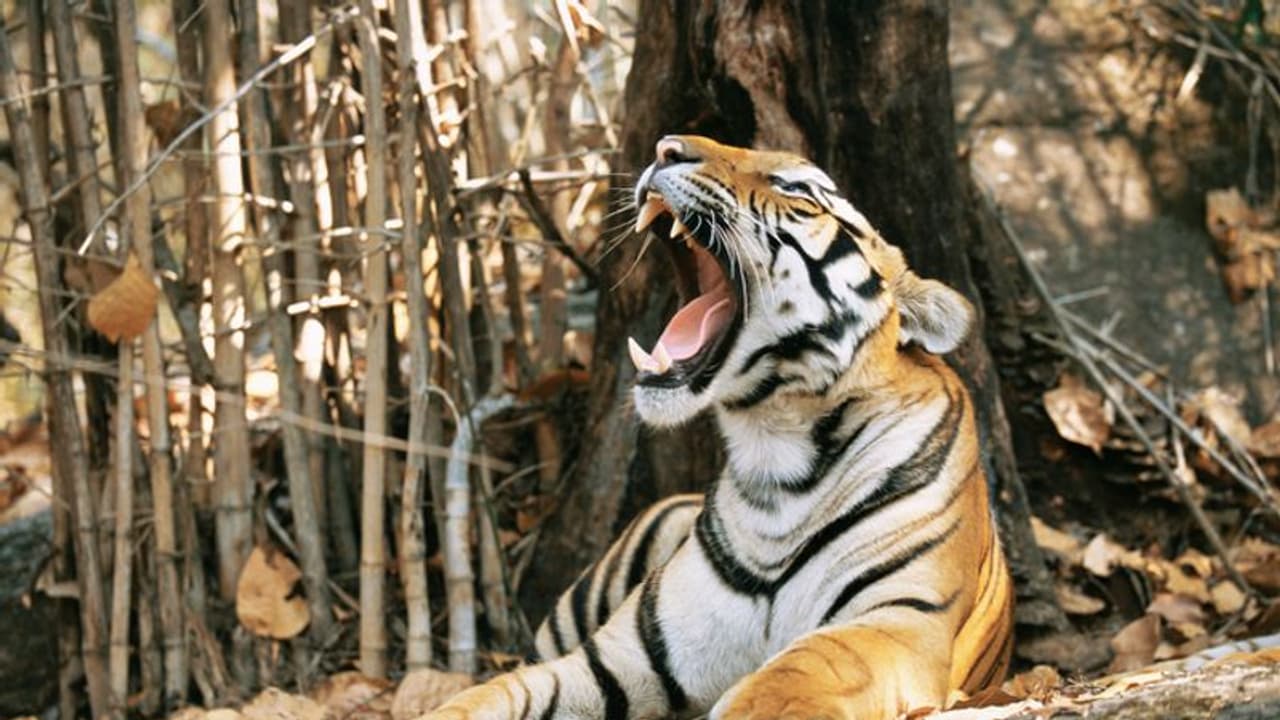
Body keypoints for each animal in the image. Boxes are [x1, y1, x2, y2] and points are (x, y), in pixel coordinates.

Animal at [422, 135, 1014, 720]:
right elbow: (486, 696)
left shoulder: (898, 621)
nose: (665, 148)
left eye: (796, 188)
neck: (777, 451)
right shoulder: (618, 657)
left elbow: (794, 674)